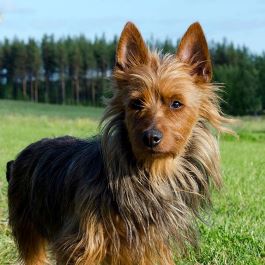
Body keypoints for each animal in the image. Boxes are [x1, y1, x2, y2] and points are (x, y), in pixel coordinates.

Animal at [5, 21, 229, 262]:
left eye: (176, 104)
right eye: (136, 103)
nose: (150, 137)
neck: (150, 175)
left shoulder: (149, 246)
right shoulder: (82, 243)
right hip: (28, 227)